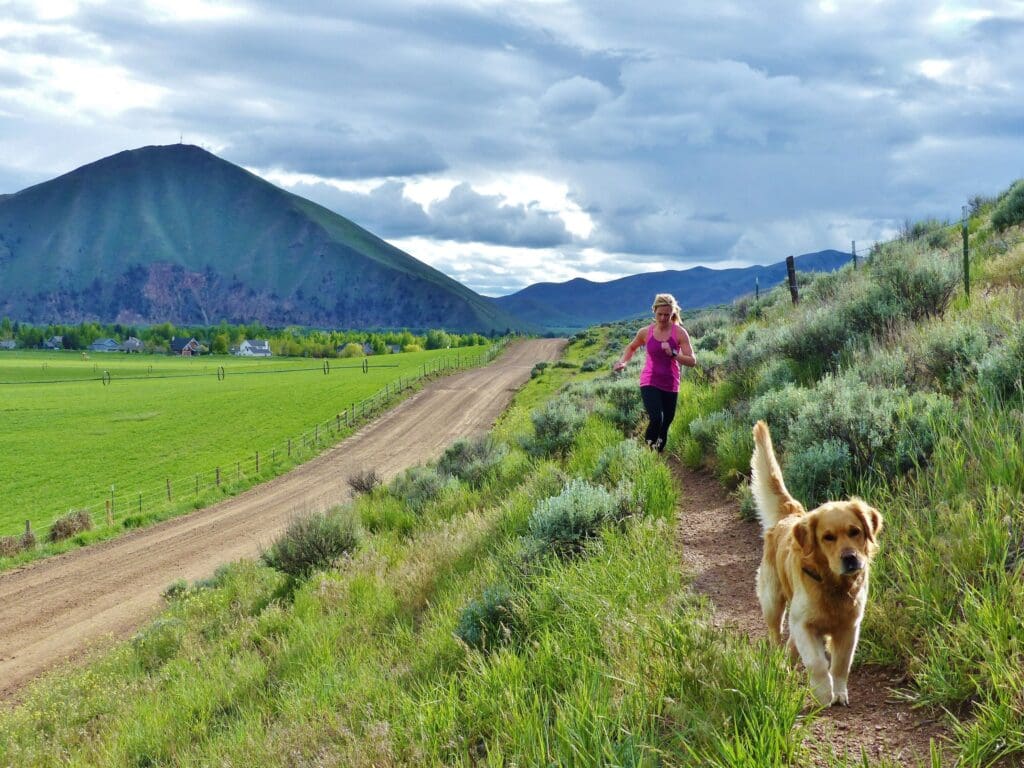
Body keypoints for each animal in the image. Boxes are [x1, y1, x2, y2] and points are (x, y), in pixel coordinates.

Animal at [749, 421, 884, 708]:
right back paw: (778, 666)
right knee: (776, 637)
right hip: (773, 602)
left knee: (790, 644)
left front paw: (839, 692)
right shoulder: (804, 624)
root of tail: (792, 515)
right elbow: (817, 664)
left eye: (855, 532)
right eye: (827, 537)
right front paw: (823, 694)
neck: (833, 585)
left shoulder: (849, 627)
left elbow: (841, 664)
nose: (850, 558)